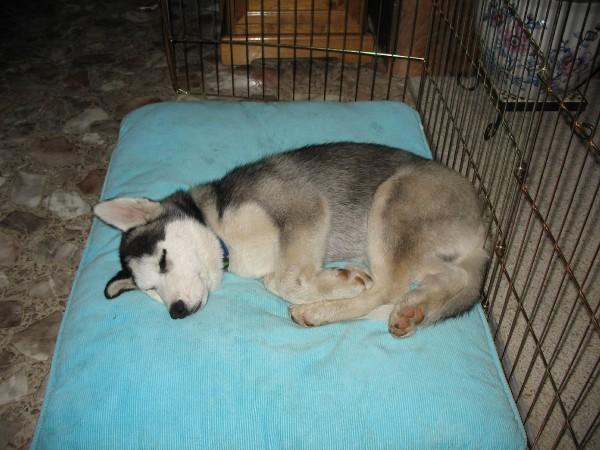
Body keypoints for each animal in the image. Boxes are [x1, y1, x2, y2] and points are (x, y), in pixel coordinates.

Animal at [94, 142, 488, 337]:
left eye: (163, 260)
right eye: (150, 290)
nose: (176, 311)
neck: (221, 233)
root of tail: (482, 232)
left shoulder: (304, 207)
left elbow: (283, 280)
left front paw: (339, 283)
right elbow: (276, 280)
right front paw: (338, 281)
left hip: (392, 202)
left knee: (388, 287)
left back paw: (320, 312)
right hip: (420, 248)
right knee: (451, 278)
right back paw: (412, 309)